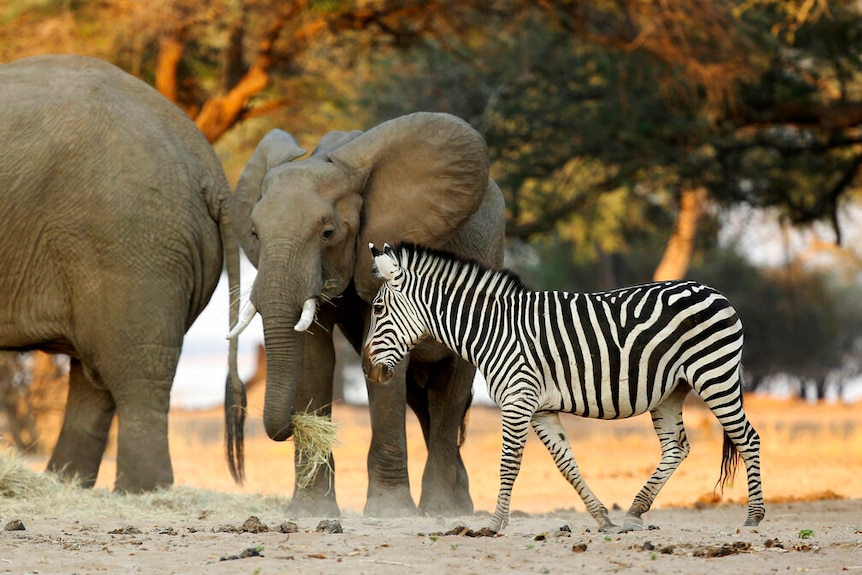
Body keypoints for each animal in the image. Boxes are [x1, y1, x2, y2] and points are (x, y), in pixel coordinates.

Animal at [0, 55, 241, 496]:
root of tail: (209, 168)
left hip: (133, 242)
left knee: (134, 370)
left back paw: (140, 491)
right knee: (95, 377)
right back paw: (67, 485)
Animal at [226, 112, 506, 516]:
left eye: (328, 232)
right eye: (254, 233)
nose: (290, 425)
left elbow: (383, 364)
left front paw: (390, 512)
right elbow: (313, 359)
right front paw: (311, 511)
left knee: (450, 391)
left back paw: (442, 510)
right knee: (423, 400)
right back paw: (457, 504)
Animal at [362, 242, 768, 536]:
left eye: (378, 309)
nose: (367, 369)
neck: (492, 330)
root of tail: (715, 292)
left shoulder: (518, 398)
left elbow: (509, 463)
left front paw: (493, 524)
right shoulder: (540, 407)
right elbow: (566, 464)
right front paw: (603, 519)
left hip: (714, 374)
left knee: (748, 438)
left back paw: (753, 517)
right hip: (672, 391)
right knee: (677, 448)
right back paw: (634, 512)